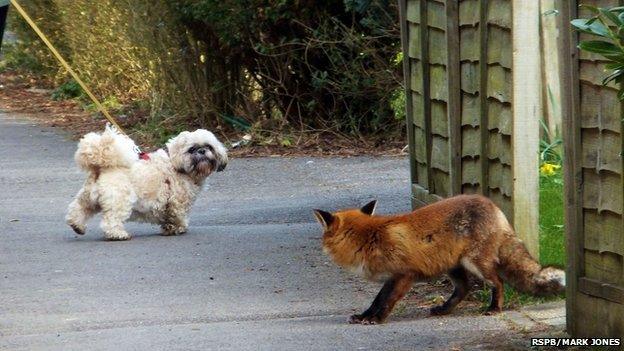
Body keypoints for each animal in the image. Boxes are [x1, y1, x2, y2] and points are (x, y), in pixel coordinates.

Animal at [64, 126, 229, 242]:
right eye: (192, 149)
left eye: (209, 146)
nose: (202, 151)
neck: (176, 165)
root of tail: (102, 167)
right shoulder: (178, 202)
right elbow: (178, 216)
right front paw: (178, 228)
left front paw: (169, 228)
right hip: (119, 202)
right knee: (111, 221)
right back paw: (118, 234)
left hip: (88, 199)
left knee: (78, 209)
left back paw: (77, 225)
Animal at [314, 195, 564, 324]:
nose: (321, 245)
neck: (370, 237)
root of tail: (492, 205)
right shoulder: (391, 277)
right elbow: (377, 299)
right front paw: (365, 315)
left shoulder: (405, 274)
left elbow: (387, 300)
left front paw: (378, 319)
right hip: (452, 266)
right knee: (464, 289)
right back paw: (444, 309)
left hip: (476, 263)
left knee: (498, 283)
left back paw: (494, 308)